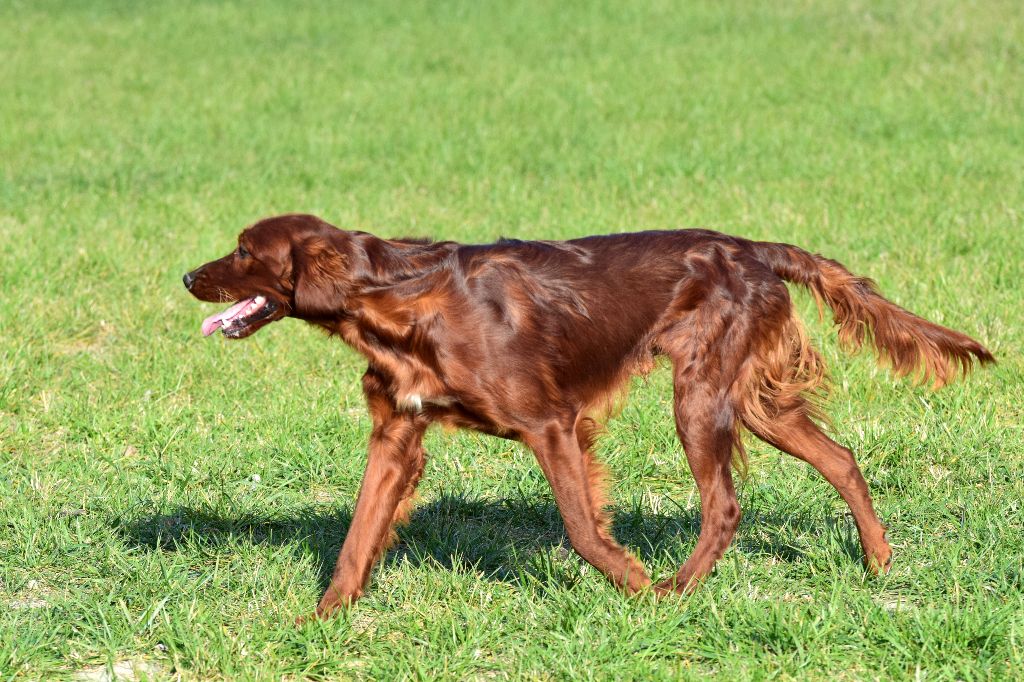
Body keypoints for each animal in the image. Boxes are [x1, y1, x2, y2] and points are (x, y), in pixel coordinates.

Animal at [184, 212, 991, 614]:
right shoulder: (397, 435)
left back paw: (676, 593)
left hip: (699, 395)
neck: (397, 300)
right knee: (840, 459)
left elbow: (580, 528)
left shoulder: (551, 423)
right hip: (747, 398)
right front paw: (322, 622)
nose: (189, 275)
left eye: (244, 250)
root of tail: (755, 249)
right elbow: (356, 540)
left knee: (725, 505)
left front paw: (635, 588)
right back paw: (878, 562)